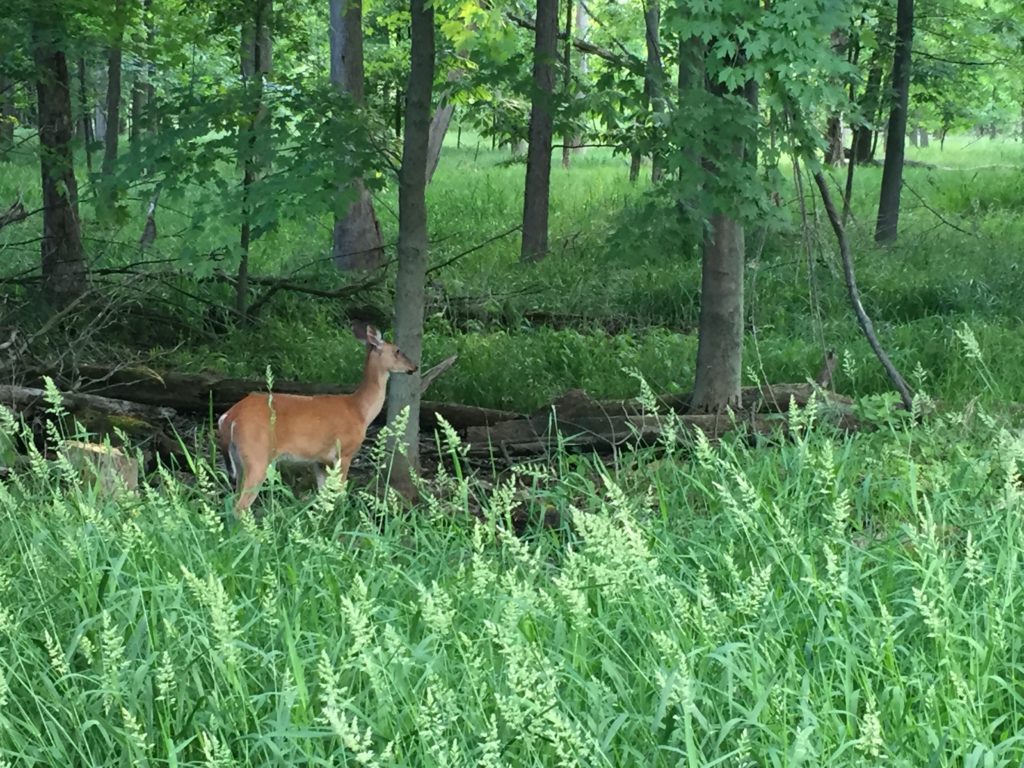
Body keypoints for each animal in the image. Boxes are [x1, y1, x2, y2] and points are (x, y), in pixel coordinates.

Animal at [218, 321, 417, 514]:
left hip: (240, 461)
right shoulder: (344, 451)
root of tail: (230, 416)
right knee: (240, 507)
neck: (359, 410)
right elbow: (341, 495)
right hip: (257, 456)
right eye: (397, 350)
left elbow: (324, 498)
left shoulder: (320, 461)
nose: (414, 367)